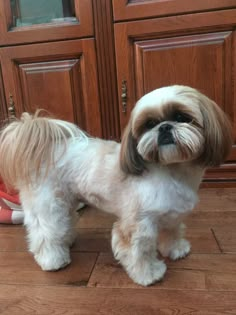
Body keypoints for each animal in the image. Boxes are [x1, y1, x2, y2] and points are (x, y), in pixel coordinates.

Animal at [0, 86, 232, 286]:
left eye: (182, 118)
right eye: (149, 124)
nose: (164, 127)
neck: (172, 171)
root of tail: (46, 147)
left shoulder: (171, 214)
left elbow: (173, 232)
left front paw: (176, 250)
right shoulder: (137, 225)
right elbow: (139, 252)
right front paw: (149, 274)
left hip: (66, 200)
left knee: (63, 223)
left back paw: (66, 241)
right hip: (48, 204)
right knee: (45, 231)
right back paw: (52, 260)